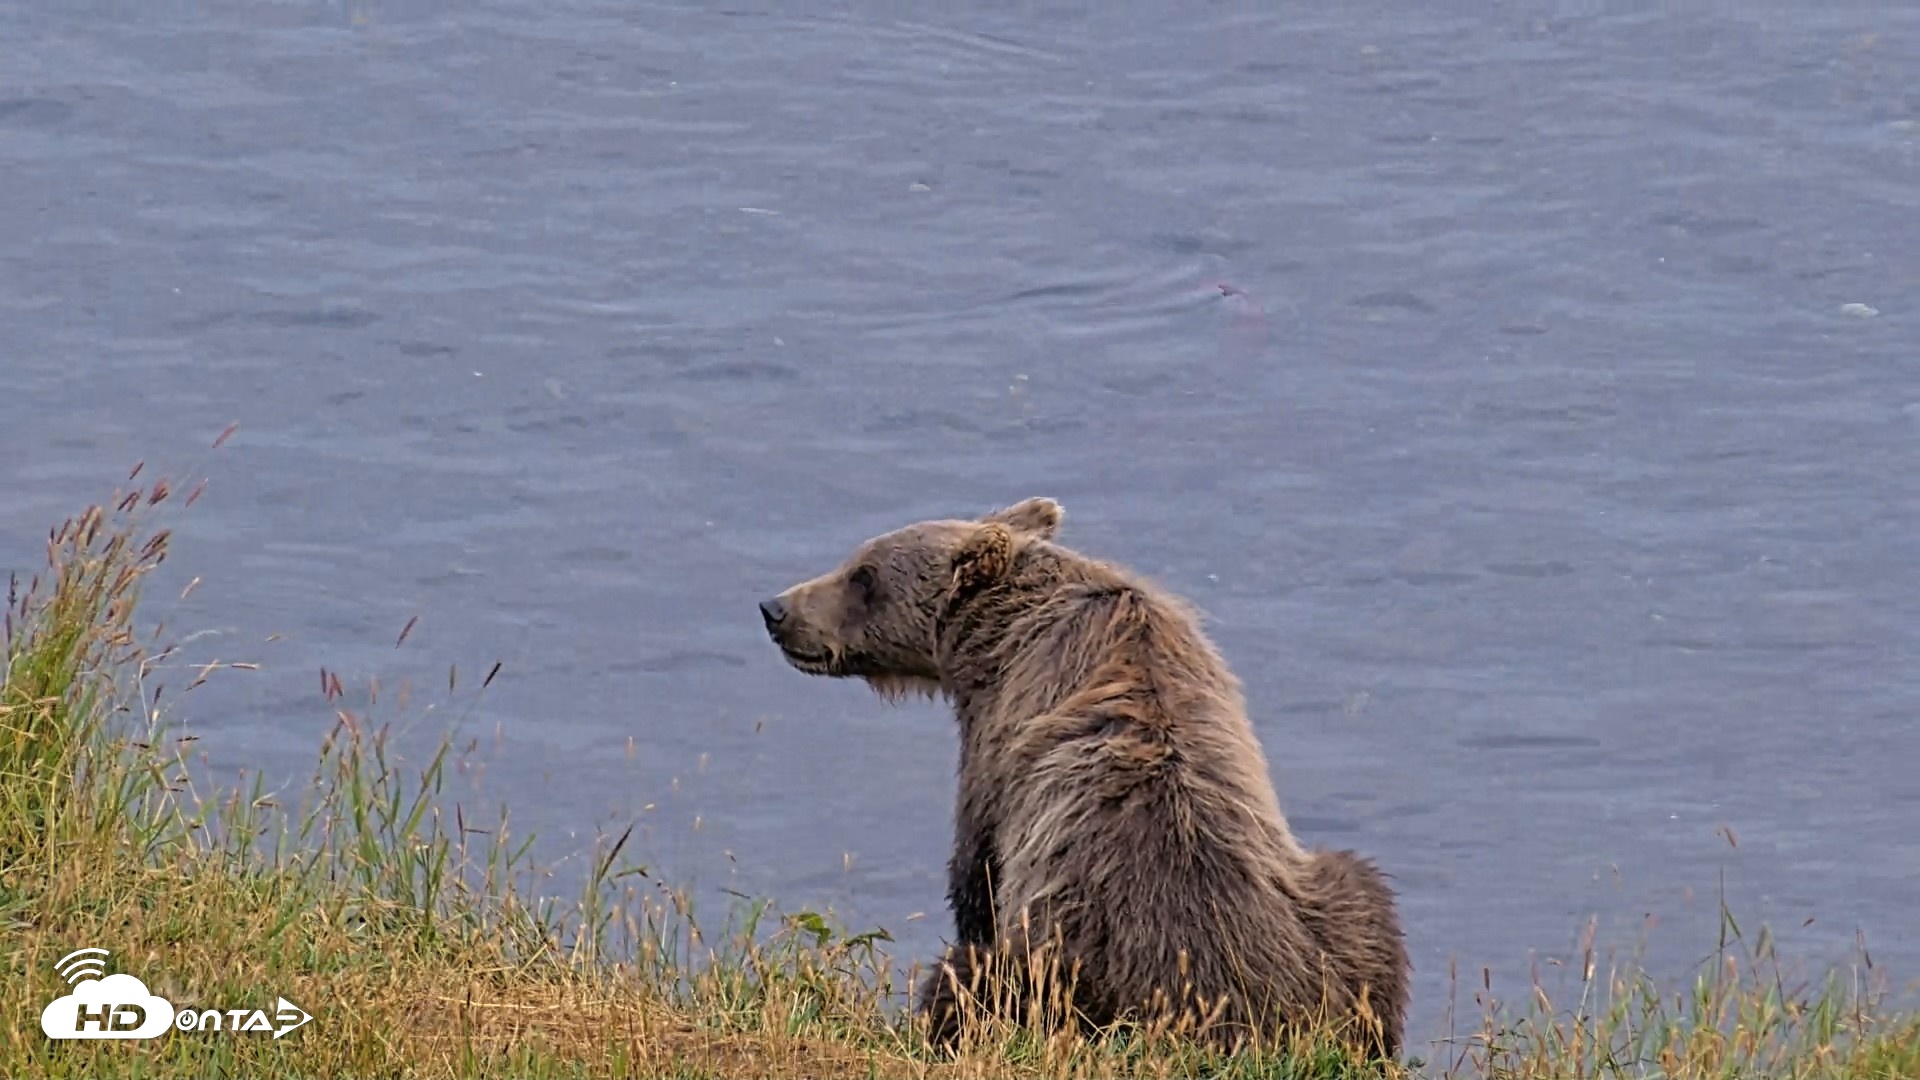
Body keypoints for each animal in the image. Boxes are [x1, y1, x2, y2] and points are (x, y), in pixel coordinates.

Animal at [757, 498, 1409, 1060]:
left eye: (863, 576)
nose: (777, 609)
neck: (1006, 627)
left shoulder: (1001, 738)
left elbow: (977, 867)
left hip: (1070, 965)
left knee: (974, 983)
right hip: (1333, 921)